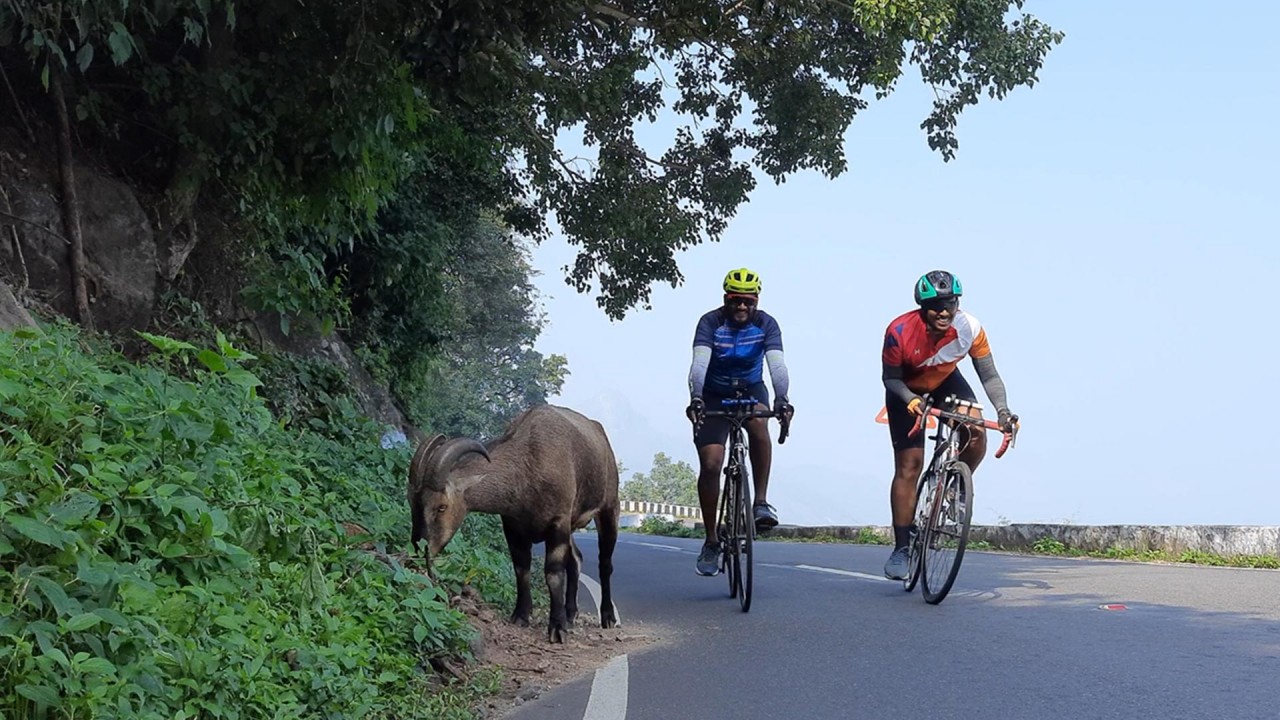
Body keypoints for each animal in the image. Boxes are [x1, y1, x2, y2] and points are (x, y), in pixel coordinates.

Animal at [407, 399, 622, 640]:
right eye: (411, 502)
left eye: (442, 507)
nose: (419, 550)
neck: (529, 463)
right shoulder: (513, 525)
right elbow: (521, 569)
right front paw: (521, 616)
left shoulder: (558, 521)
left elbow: (553, 572)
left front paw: (556, 628)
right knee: (576, 559)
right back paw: (570, 614)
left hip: (608, 507)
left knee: (605, 563)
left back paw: (607, 617)